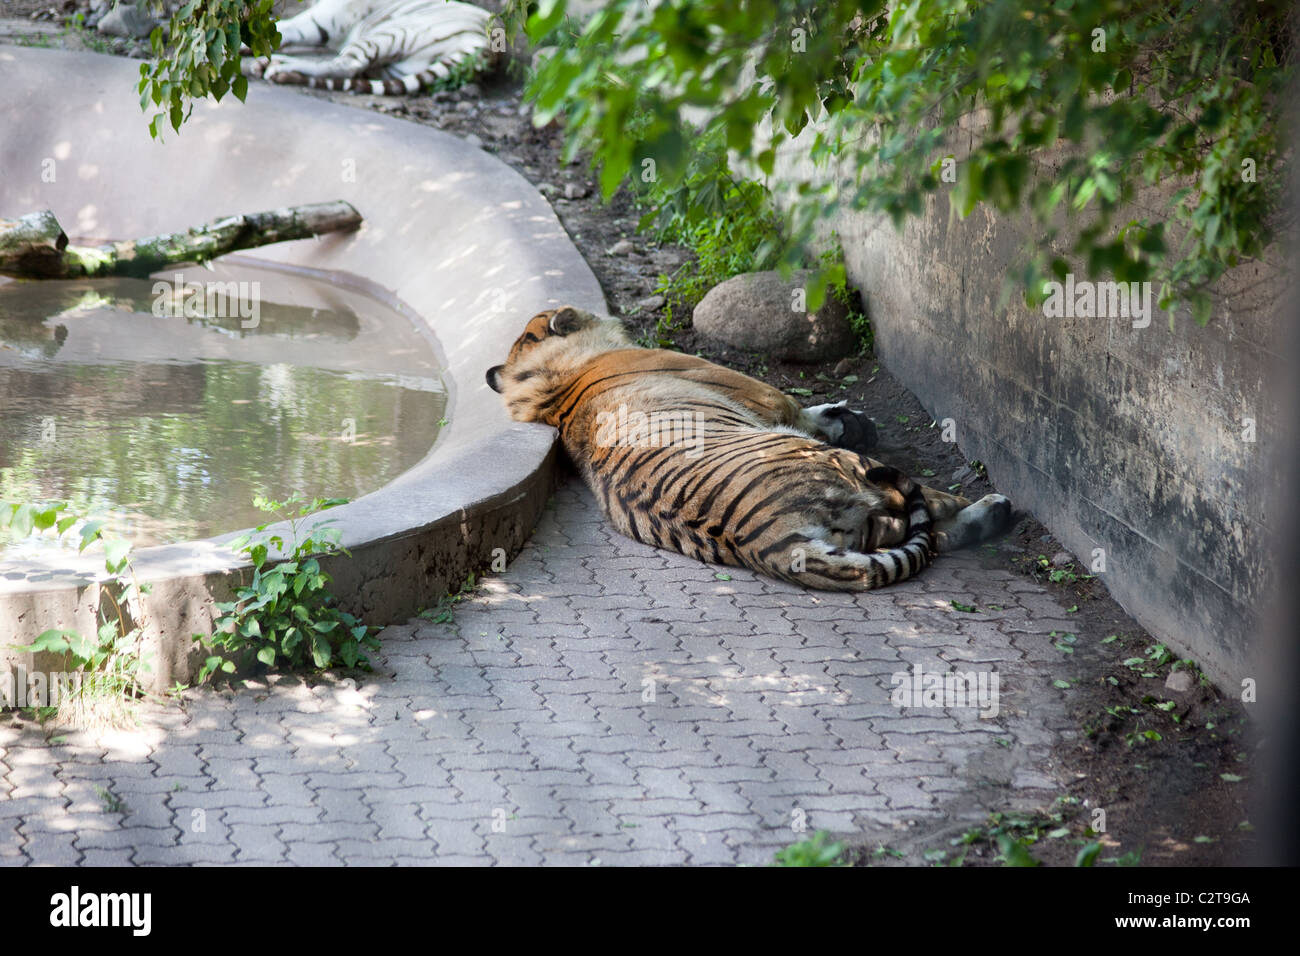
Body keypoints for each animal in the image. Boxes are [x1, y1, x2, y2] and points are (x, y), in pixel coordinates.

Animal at [244, 0, 491, 95]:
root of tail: (488, 46)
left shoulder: (322, 20)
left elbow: (280, 28)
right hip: (396, 66)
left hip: (393, 32)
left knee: (350, 63)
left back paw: (279, 66)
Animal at [488, 306, 1013, 590]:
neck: (547, 384)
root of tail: (772, 545)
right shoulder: (762, 394)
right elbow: (798, 407)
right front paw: (844, 419)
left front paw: (847, 417)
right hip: (844, 469)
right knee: (934, 506)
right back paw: (996, 506)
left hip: (864, 527)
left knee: (930, 535)